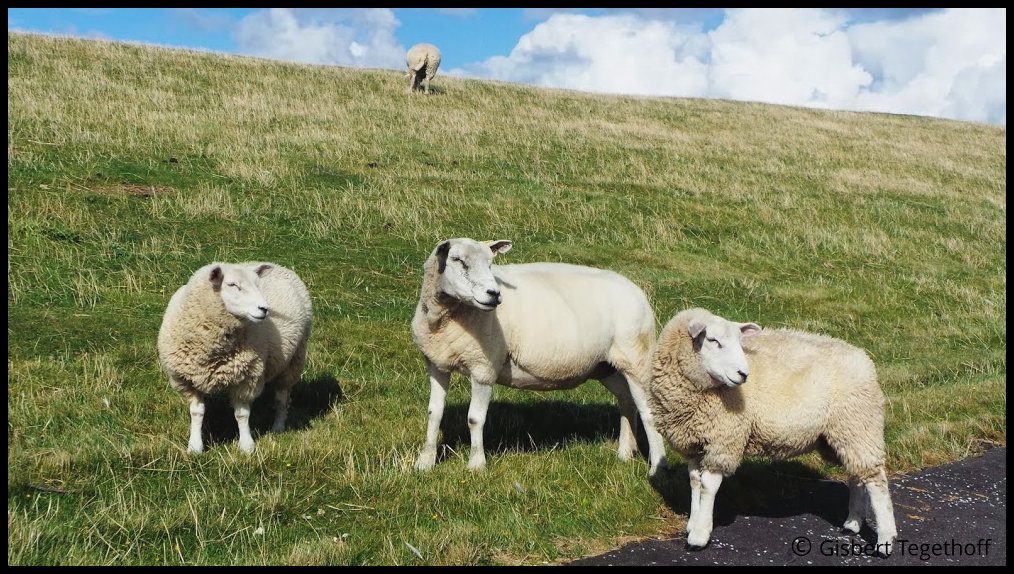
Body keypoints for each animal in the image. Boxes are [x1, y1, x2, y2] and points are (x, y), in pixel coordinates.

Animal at [154, 263, 310, 456]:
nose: (264, 309)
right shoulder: (187, 380)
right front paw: (195, 447)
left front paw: (247, 446)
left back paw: (278, 427)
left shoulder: (247, 377)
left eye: (258, 284)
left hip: (293, 361)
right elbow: (197, 413)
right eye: (232, 284)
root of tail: (281, 266)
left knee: (282, 397)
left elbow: (242, 414)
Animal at [407, 238, 669, 476]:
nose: (494, 294)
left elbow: (474, 419)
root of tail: (637, 290)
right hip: (607, 366)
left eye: (491, 263)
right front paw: (425, 463)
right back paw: (625, 453)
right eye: (457, 260)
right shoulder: (436, 364)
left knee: (648, 412)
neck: (443, 319)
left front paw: (476, 465)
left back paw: (657, 467)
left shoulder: (483, 367)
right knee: (626, 400)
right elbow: (434, 413)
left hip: (637, 357)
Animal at [648, 310, 896, 559]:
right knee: (857, 475)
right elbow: (694, 481)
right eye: (713, 340)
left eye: (739, 342)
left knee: (876, 482)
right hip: (844, 433)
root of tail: (863, 358)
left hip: (858, 424)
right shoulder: (695, 443)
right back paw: (853, 523)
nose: (743, 374)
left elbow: (708, 486)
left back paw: (885, 540)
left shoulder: (723, 440)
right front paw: (692, 524)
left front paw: (699, 535)